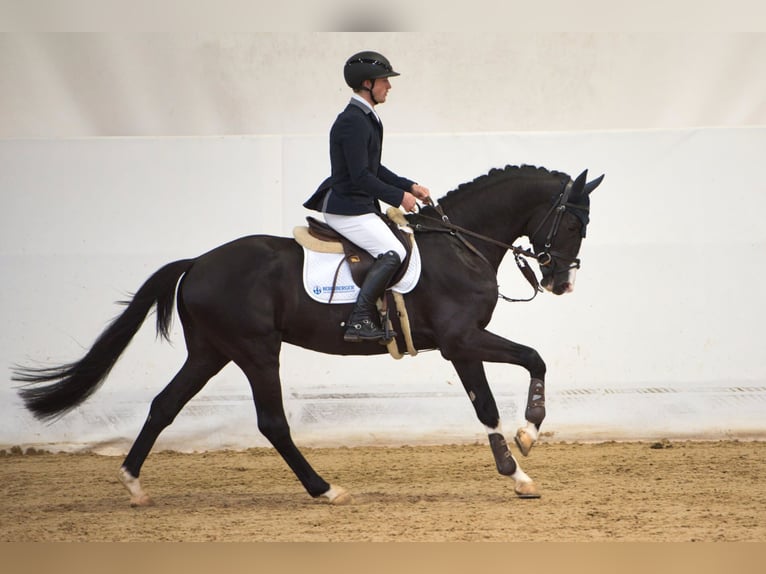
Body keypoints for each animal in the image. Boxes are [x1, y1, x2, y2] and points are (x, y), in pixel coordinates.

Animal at [13, 164, 608, 506]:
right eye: (573, 223)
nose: (561, 282)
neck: (459, 244)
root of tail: (198, 263)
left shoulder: (463, 343)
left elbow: (509, 382)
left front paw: (522, 456)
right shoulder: (461, 341)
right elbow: (513, 378)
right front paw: (523, 454)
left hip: (211, 352)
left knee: (165, 405)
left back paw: (133, 484)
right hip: (256, 352)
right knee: (272, 422)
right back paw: (325, 489)